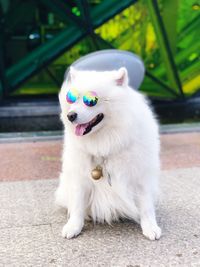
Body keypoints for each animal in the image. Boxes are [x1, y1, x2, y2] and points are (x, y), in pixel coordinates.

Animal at [55, 66, 162, 241]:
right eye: (71, 99)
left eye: (91, 101)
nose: (70, 115)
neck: (105, 141)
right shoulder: (79, 178)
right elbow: (77, 205)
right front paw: (73, 227)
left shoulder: (141, 176)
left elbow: (146, 205)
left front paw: (150, 228)